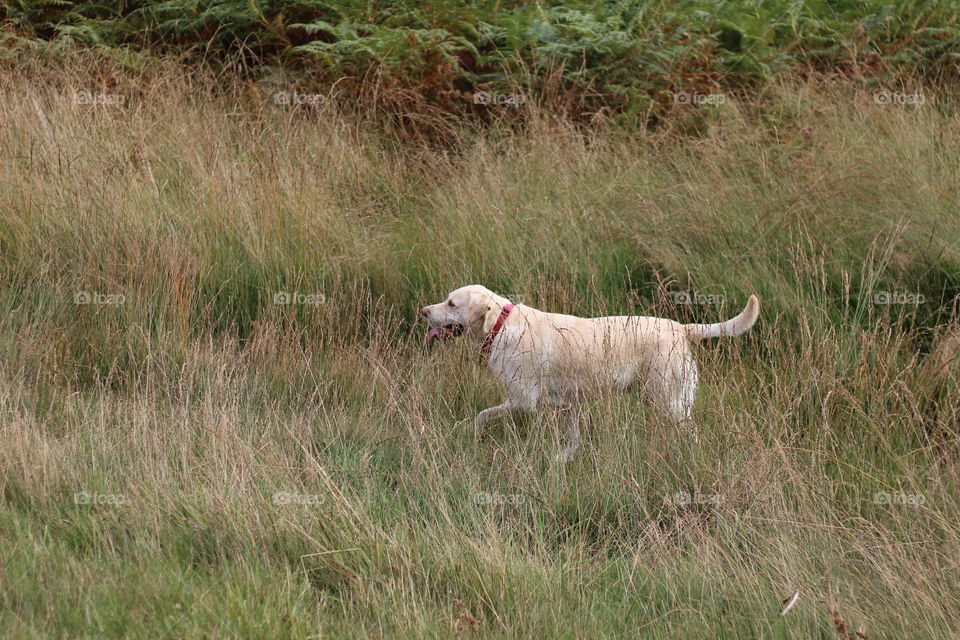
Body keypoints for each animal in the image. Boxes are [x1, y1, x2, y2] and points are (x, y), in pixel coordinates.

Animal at [420, 284, 756, 460]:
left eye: (452, 303)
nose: (423, 311)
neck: (501, 325)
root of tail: (681, 328)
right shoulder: (567, 405)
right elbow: (574, 438)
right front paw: (563, 460)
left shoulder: (522, 401)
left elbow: (481, 415)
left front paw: (472, 435)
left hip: (668, 400)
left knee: (691, 434)